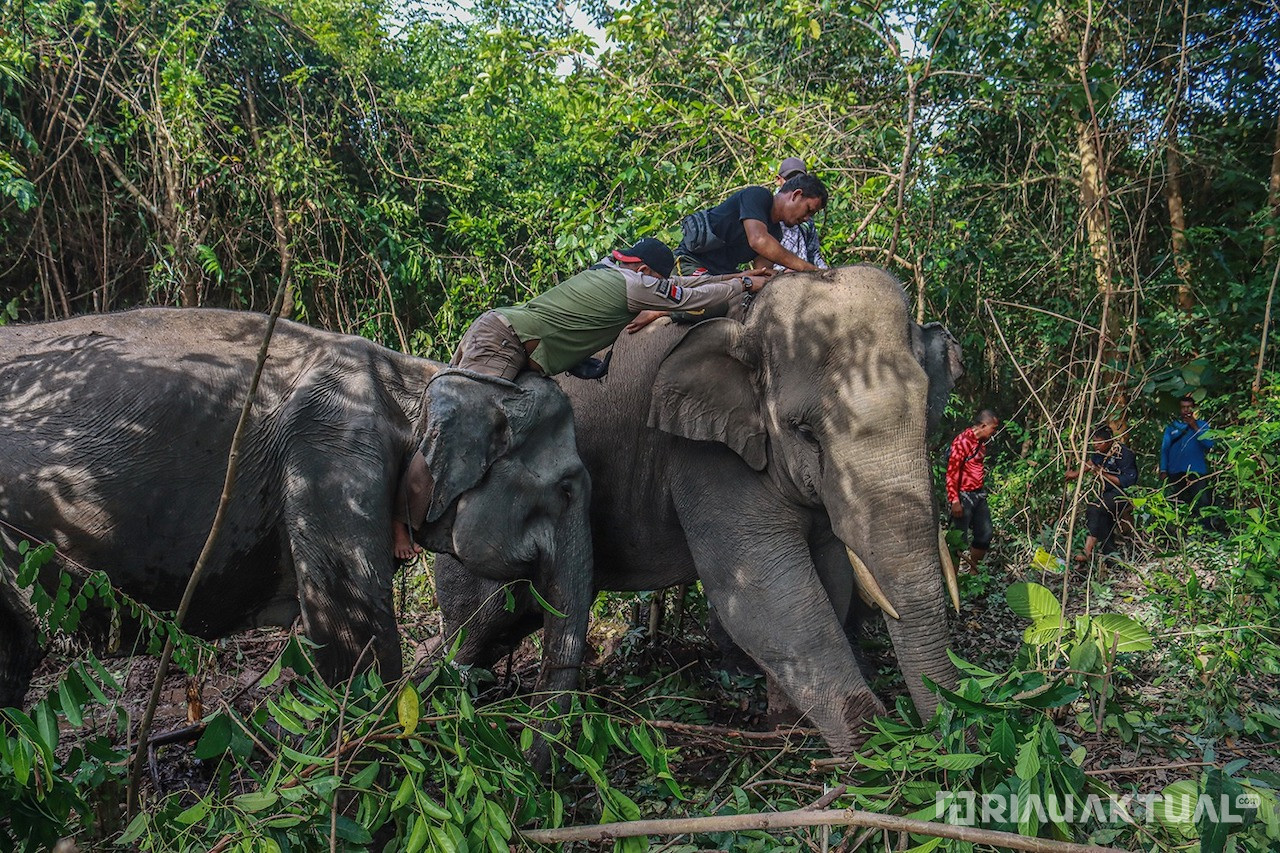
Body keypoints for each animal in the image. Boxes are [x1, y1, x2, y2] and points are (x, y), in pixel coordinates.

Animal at [430, 266, 962, 753]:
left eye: (927, 410)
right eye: (805, 430)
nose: (948, 730)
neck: (749, 324)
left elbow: (827, 574)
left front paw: (789, 727)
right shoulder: (702, 455)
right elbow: (765, 591)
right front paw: (875, 750)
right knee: (479, 621)